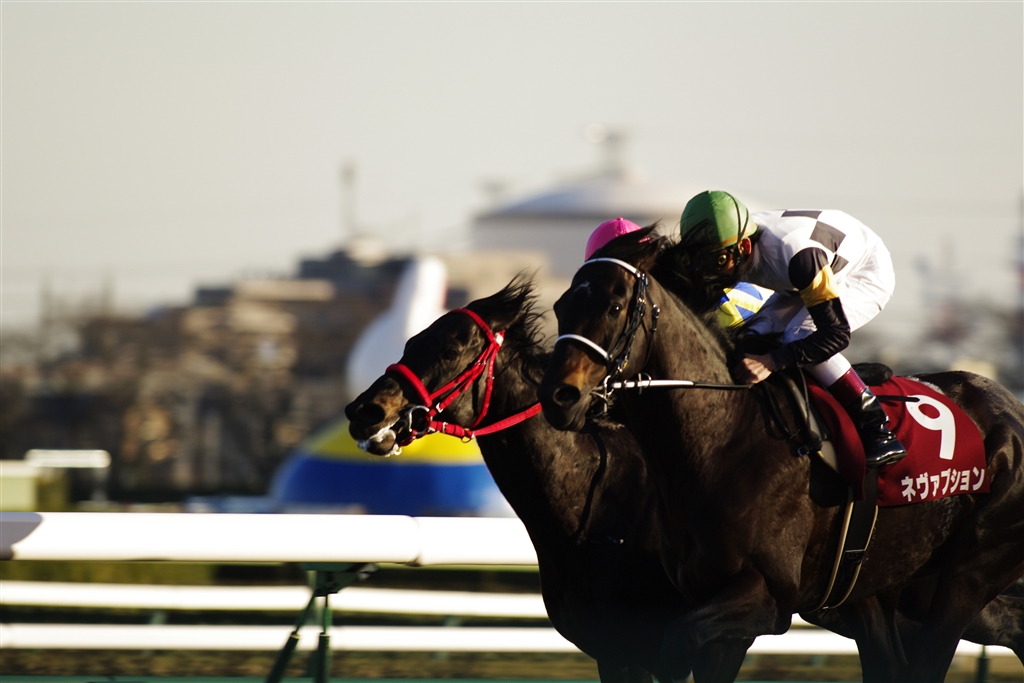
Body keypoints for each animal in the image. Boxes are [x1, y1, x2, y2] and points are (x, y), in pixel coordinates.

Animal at [345, 279, 754, 683]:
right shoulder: (614, 652)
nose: (363, 411)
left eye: (450, 351)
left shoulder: (705, 642)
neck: (599, 501)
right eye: (411, 342)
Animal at [536, 227, 1024, 682]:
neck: (726, 435)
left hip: (966, 576)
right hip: (882, 585)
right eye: (561, 307)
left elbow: (676, 642)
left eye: (614, 306)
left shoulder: (767, 596)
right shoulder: (709, 597)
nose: (558, 396)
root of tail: (1011, 410)